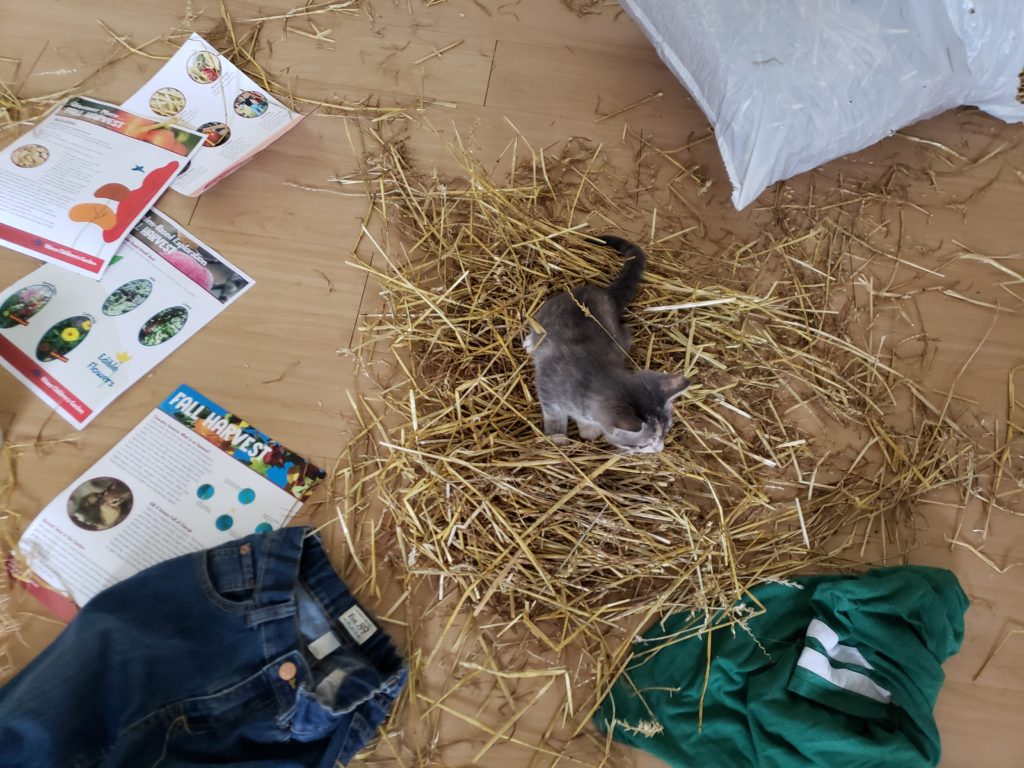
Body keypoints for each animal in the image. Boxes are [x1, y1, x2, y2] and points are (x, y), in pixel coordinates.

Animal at [528, 234, 688, 450]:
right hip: (545, 312)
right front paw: (557, 436)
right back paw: (530, 343)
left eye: (667, 431)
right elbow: (554, 415)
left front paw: (589, 430)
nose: (660, 448)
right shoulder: (548, 390)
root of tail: (606, 295)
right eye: (644, 445)